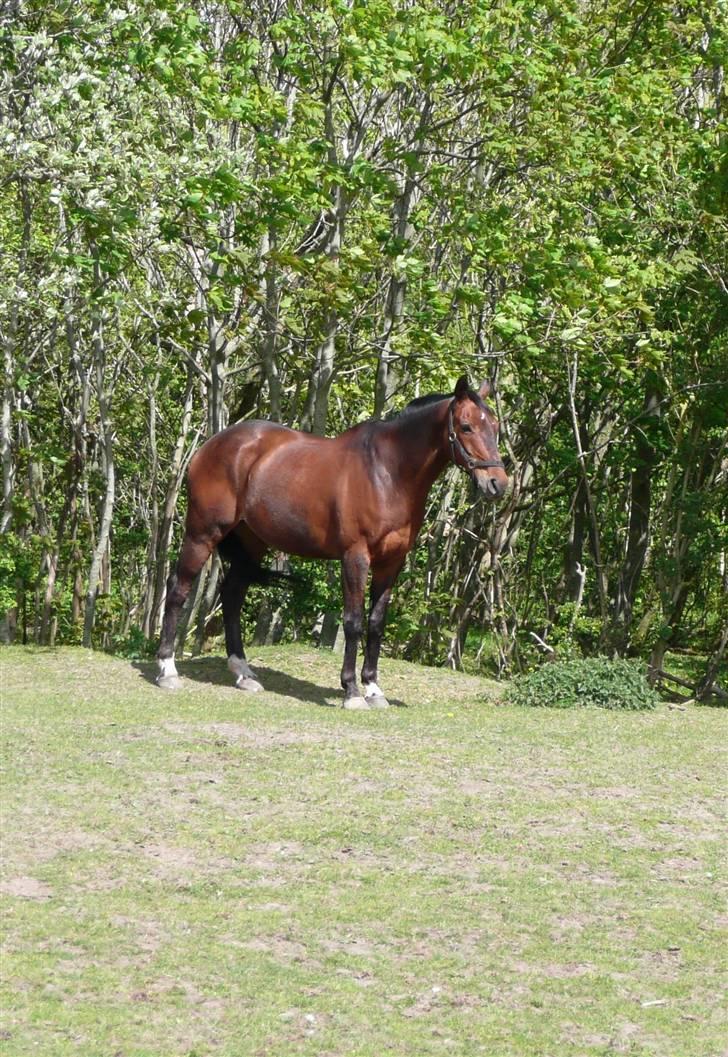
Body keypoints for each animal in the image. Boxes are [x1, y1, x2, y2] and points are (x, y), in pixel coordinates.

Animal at [156, 376, 505, 706]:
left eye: (495, 427)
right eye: (466, 426)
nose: (497, 484)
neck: (387, 472)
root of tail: (210, 446)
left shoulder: (391, 562)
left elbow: (376, 623)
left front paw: (374, 689)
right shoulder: (355, 557)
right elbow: (352, 621)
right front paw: (351, 691)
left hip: (250, 543)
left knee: (231, 596)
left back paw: (243, 673)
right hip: (202, 533)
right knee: (177, 590)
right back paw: (167, 670)